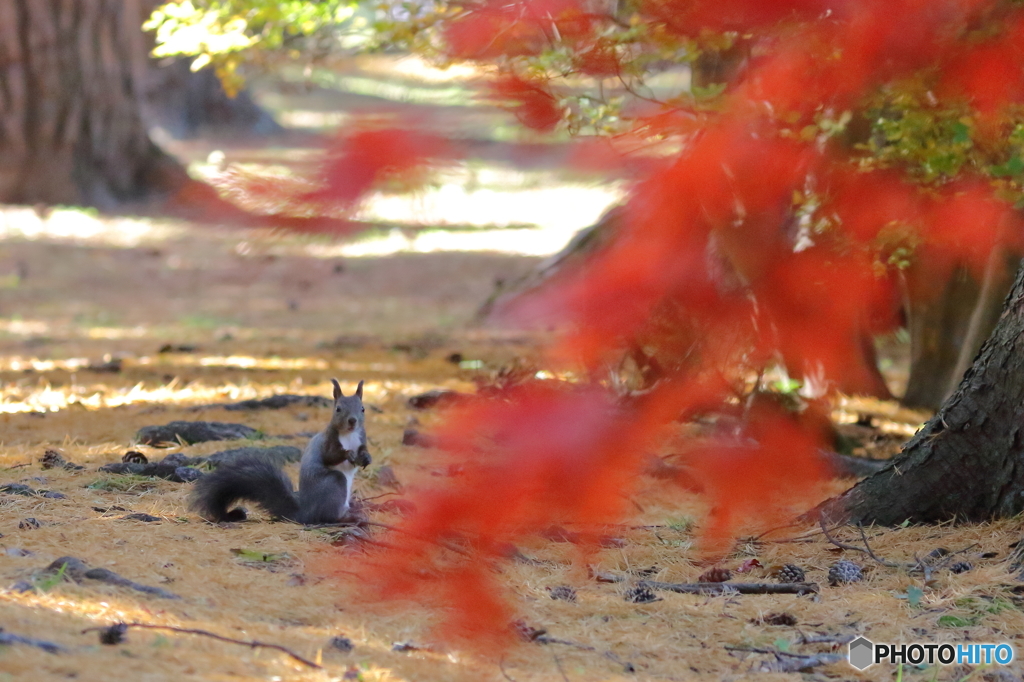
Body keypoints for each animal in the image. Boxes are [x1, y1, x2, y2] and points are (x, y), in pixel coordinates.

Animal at [189, 376, 372, 520]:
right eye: (338, 409)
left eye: (363, 408)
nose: (352, 421)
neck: (349, 435)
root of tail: (305, 514)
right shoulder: (328, 441)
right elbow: (330, 456)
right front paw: (348, 454)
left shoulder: (361, 438)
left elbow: (363, 450)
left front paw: (366, 458)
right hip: (334, 484)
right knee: (327, 517)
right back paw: (345, 519)